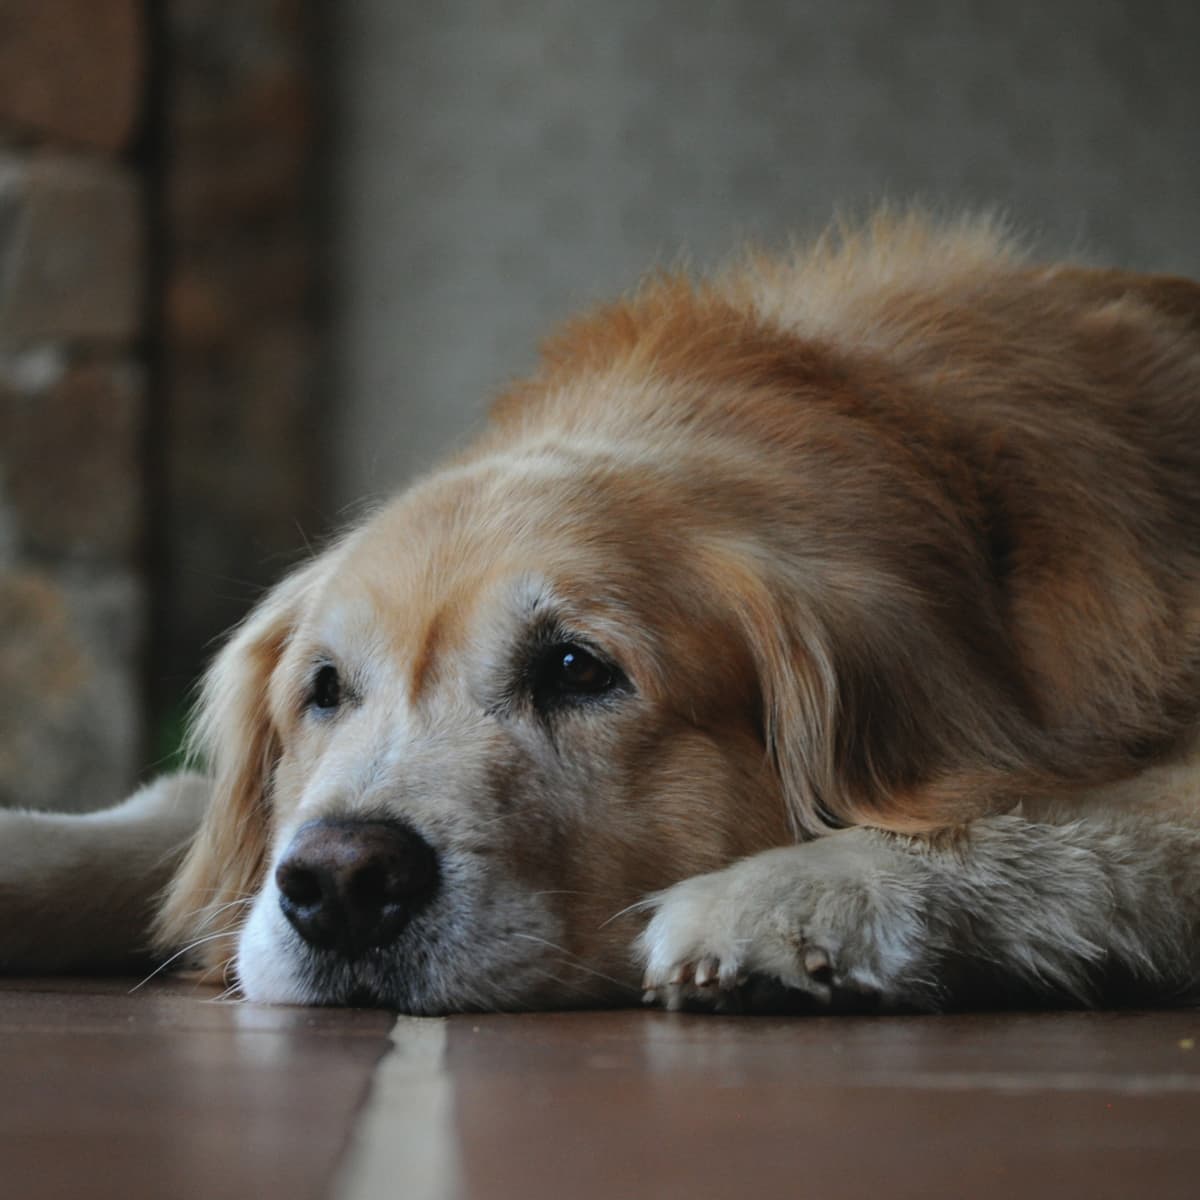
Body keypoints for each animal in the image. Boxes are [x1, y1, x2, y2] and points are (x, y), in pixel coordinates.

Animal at [2, 216, 1200, 1012]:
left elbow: (1059, 819)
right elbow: (181, 827)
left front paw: (797, 892)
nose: (339, 882)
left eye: (578, 671)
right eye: (324, 690)